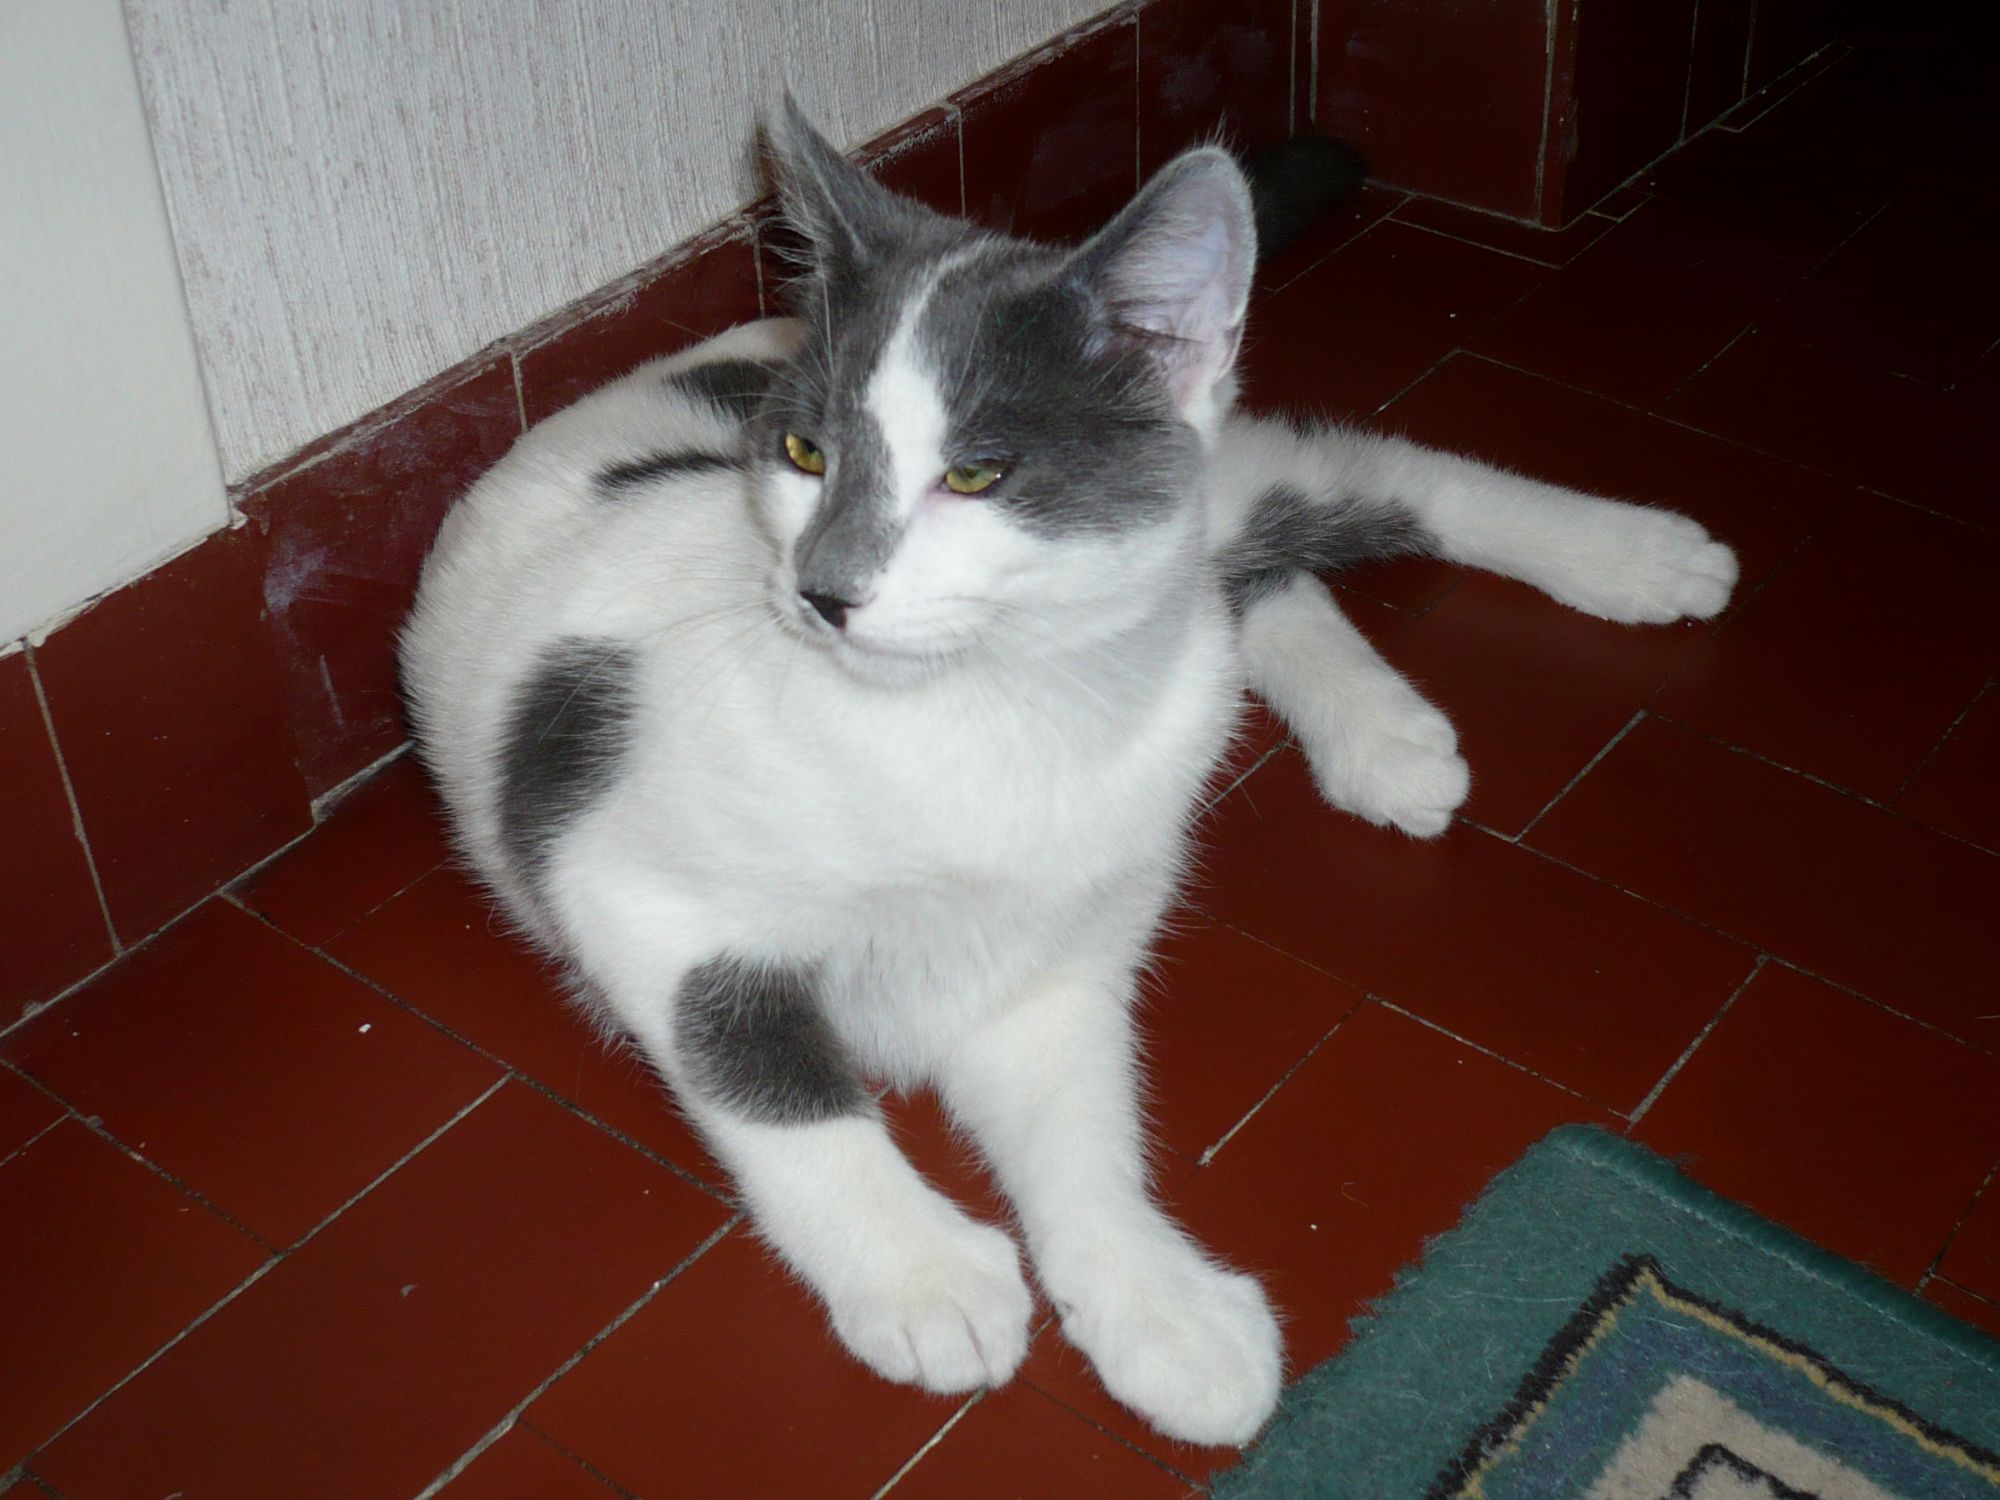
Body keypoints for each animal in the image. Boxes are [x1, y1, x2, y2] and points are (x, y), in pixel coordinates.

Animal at [400, 99, 1736, 1446]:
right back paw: (1387, 733)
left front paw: (1151, 1295)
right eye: (800, 451)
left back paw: (1633, 554)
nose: (823, 591)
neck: (991, 714)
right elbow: (775, 1083)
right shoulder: (625, 888)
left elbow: (1085, 1119)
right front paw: (929, 1274)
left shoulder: (1062, 944)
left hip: (1206, 486)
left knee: (1361, 486)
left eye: (976, 473)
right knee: (1260, 579)